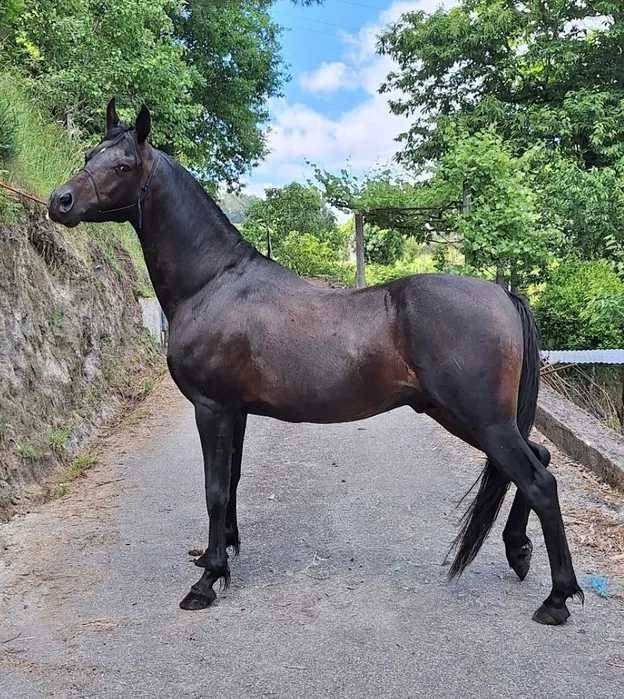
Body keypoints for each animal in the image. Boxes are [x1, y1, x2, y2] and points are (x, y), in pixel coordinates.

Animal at [48, 100, 582, 625]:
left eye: (123, 165)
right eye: (90, 154)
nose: (60, 202)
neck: (213, 283)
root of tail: (502, 294)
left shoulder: (211, 407)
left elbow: (215, 488)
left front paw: (207, 580)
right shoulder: (235, 411)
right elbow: (232, 480)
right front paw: (222, 553)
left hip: (481, 420)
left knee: (539, 481)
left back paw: (557, 598)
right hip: (467, 417)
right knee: (538, 459)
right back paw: (518, 552)